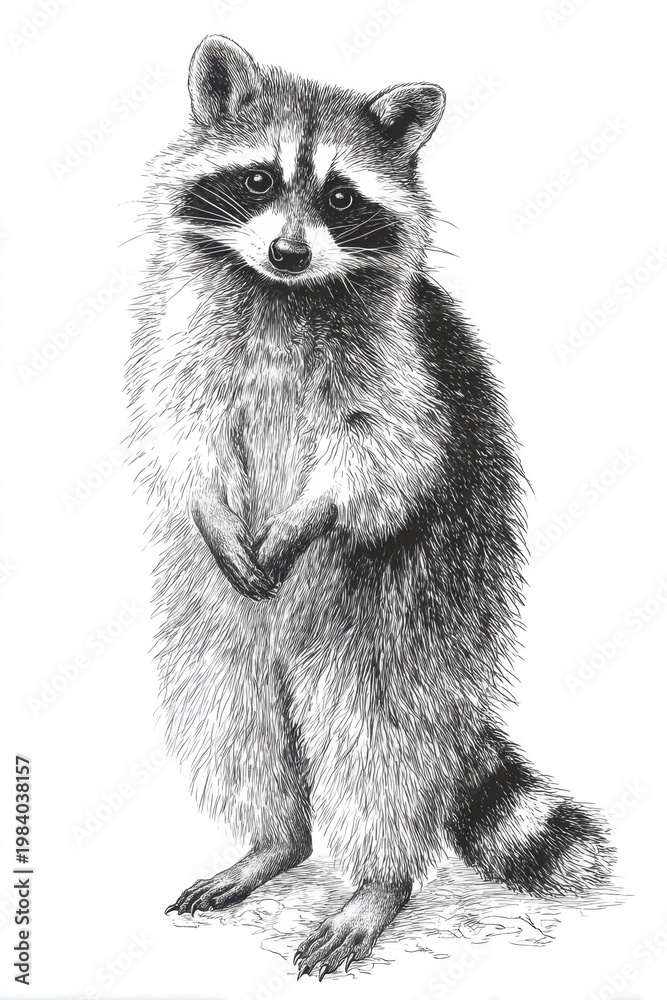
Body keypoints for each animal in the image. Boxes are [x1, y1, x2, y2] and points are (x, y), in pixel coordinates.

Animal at [126, 35, 613, 978]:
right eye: (259, 180)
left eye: (341, 196)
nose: (286, 252)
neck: (279, 293)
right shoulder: (181, 335)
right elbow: (184, 431)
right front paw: (211, 506)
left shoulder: (401, 363)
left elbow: (385, 453)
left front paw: (301, 521)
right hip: (211, 618)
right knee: (229, 709)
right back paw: (273, 841)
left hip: (405, 607)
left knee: (379, 738)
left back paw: (377, 883)